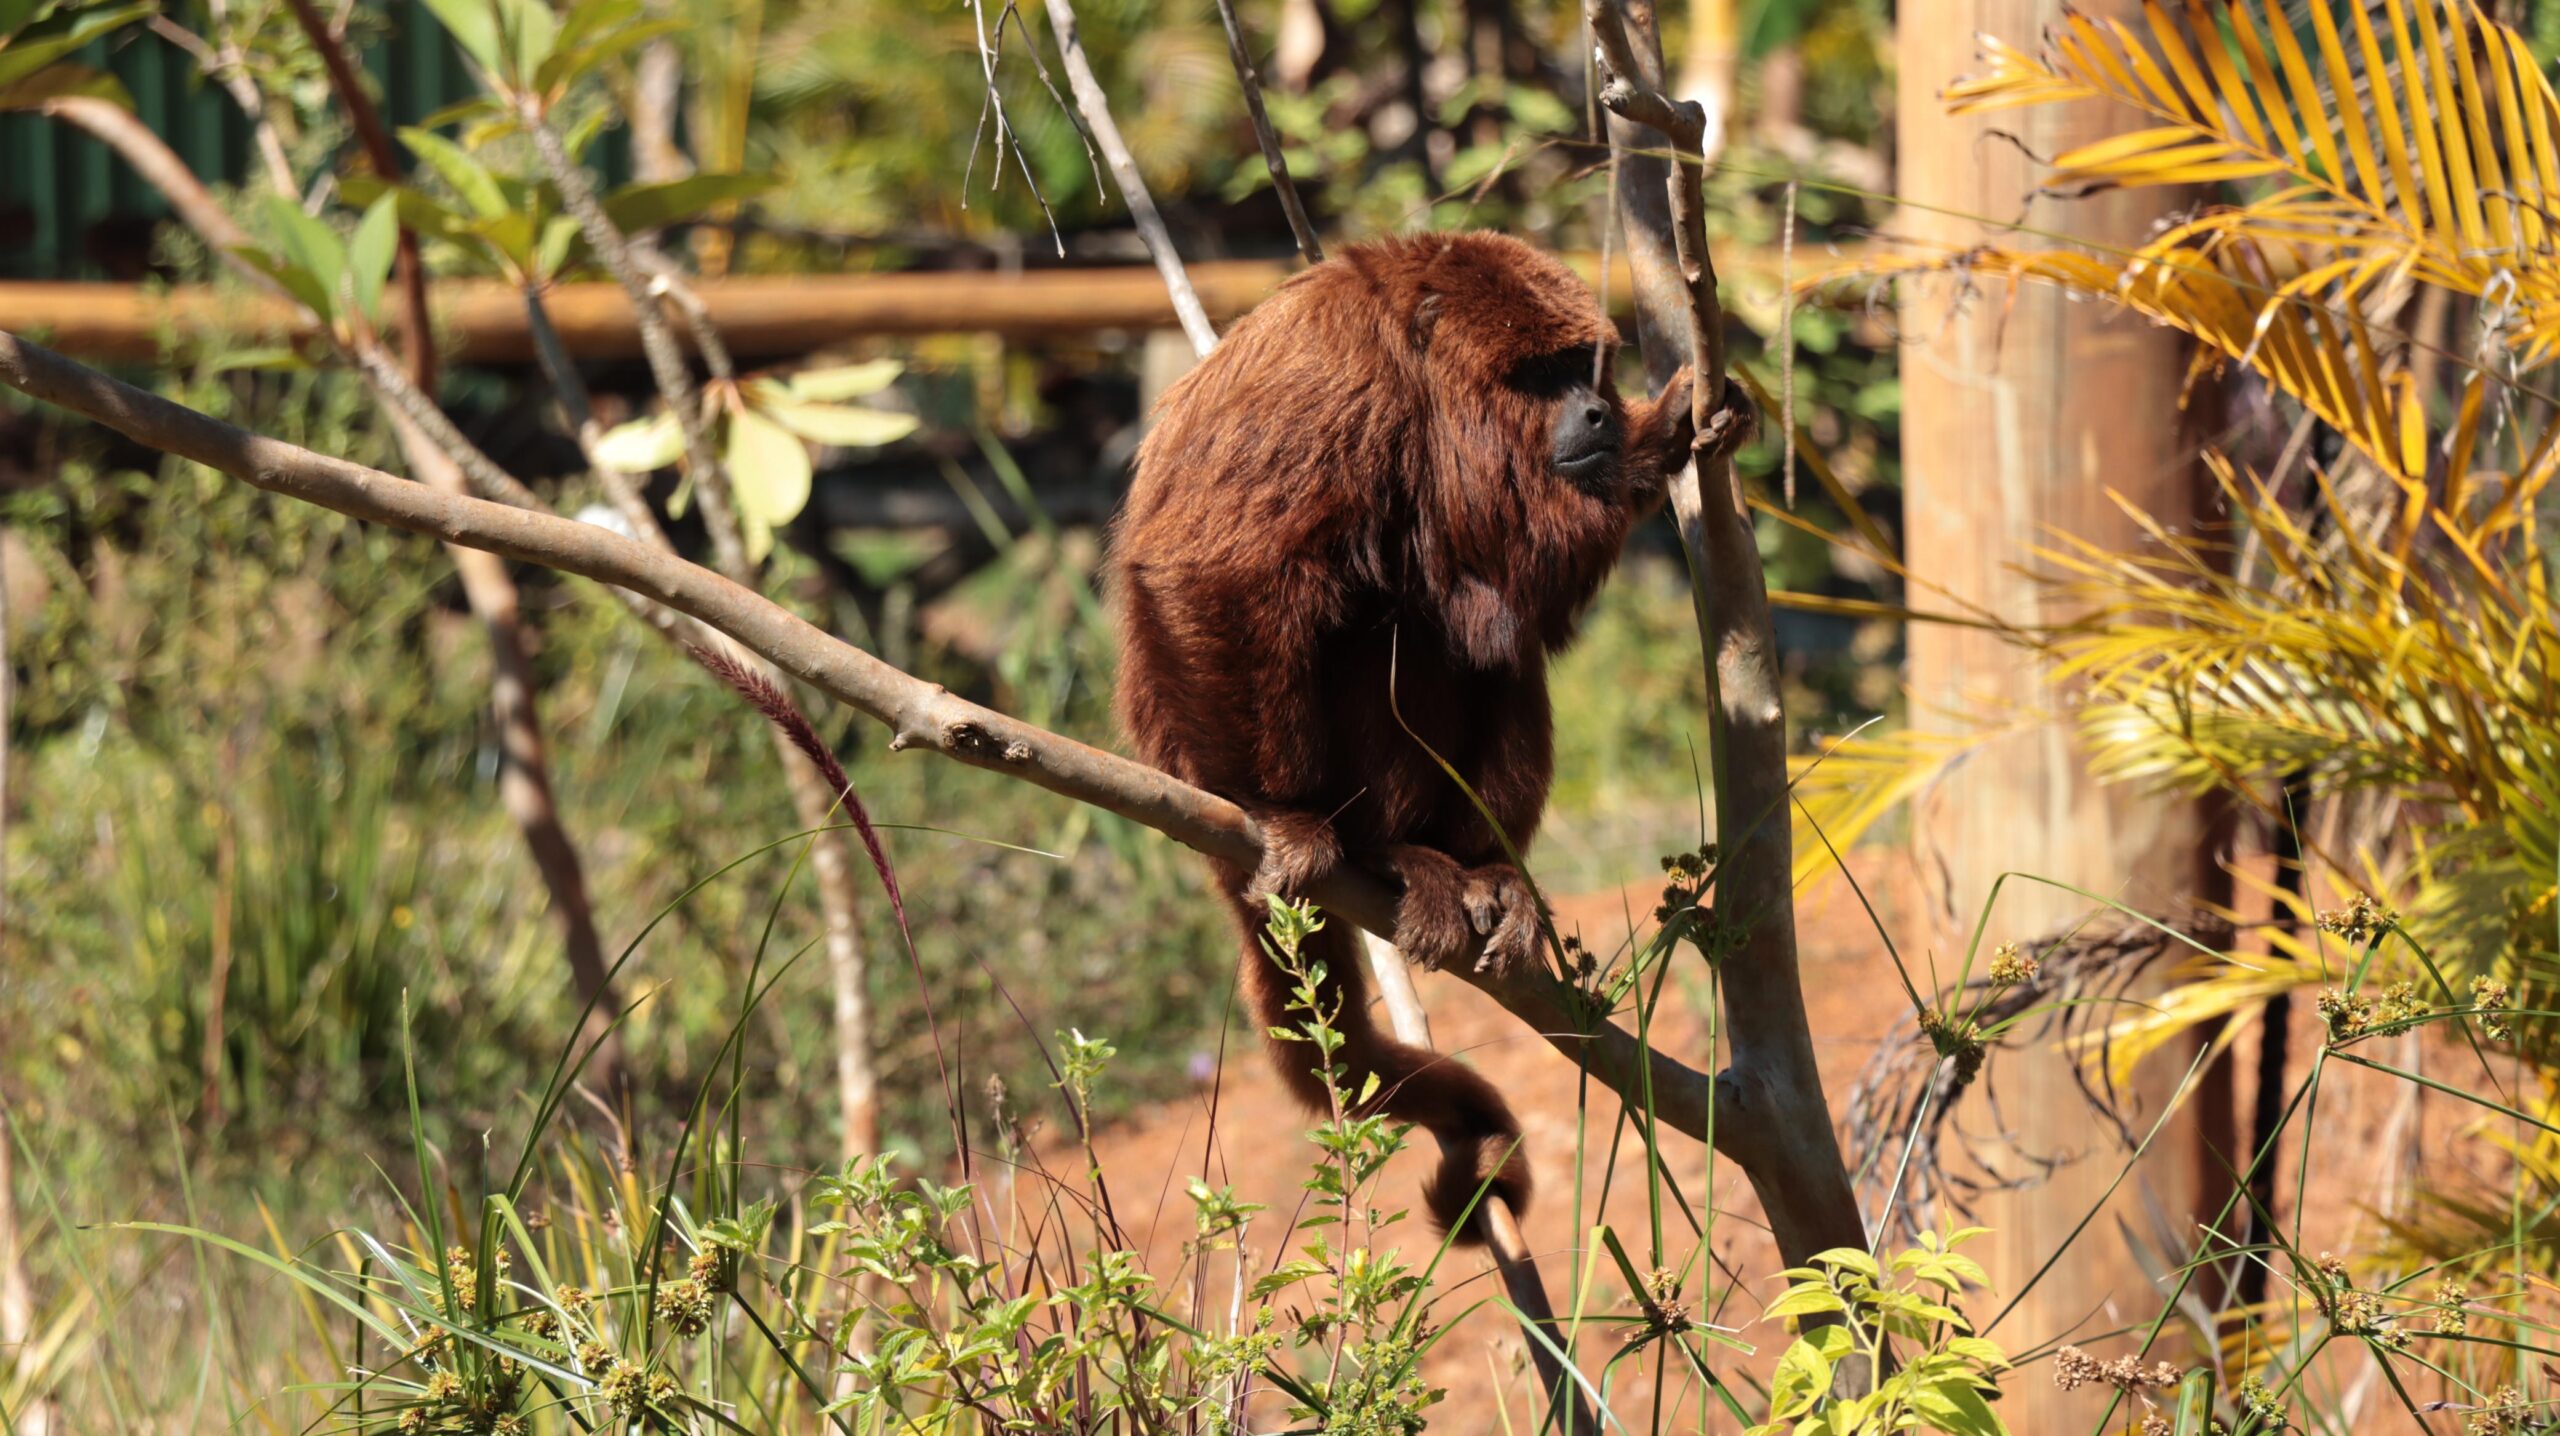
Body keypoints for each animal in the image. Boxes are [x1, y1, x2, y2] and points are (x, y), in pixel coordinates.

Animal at [1111, 229, 1751, 1238]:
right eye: (1538, 374)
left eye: (1587, 368)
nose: (1598, 413)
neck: (1424, 386)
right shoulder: (1333, 387)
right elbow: (1212, 569)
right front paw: (1274, 809)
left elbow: (1524, 594)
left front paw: (1670, 428)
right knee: (1372, 617)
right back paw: (1378, 848)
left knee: (1491, 647)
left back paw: (1484, 871)